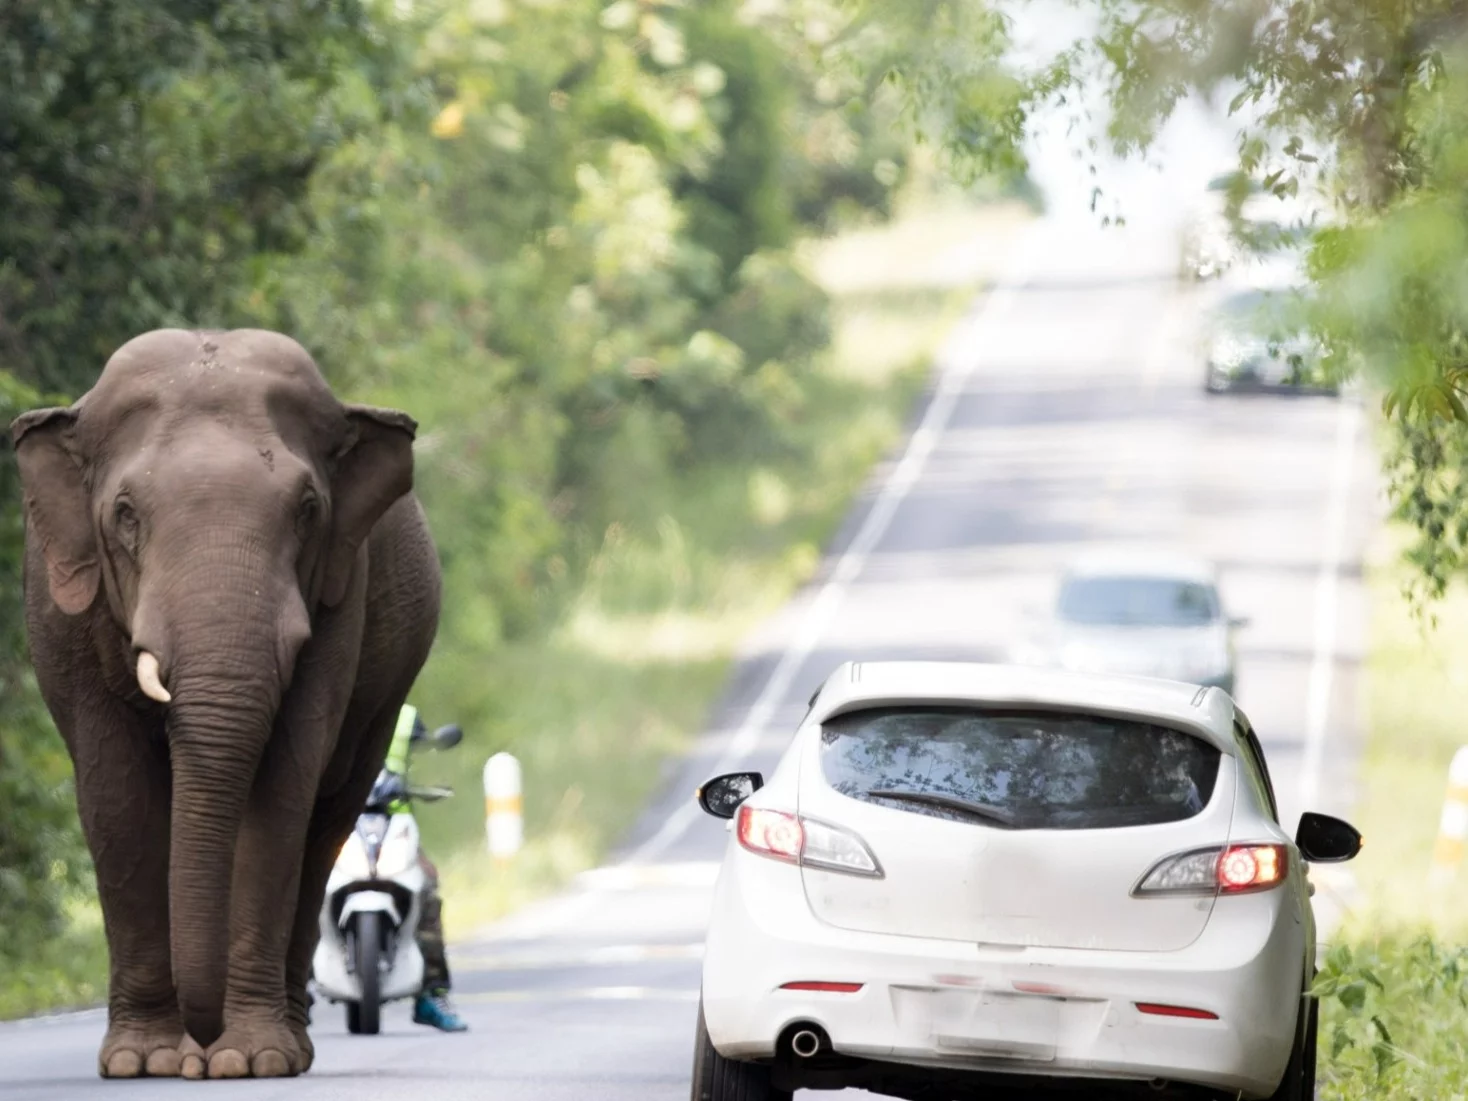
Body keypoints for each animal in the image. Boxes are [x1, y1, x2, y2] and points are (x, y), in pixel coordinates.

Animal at [11, 325, 440, 1080]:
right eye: (125, 514)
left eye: (307, 510)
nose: (201, 1045)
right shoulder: (61, 610)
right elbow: (116, 794)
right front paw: (142, 1061)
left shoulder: (342, 591)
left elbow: (280, 792)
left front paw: (250, 1060)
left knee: (325, 822)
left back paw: (286, 1047)